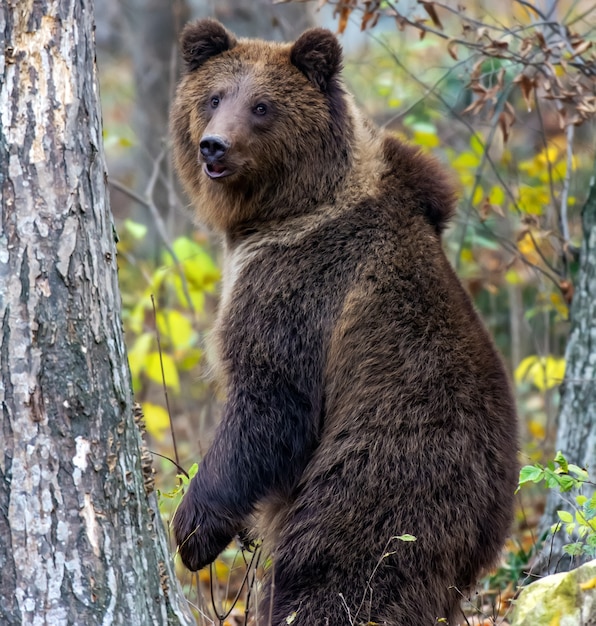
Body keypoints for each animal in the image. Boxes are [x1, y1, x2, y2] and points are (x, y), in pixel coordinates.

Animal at [170, 19, 520, 624]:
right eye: (213, 96)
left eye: (261, 106)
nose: (214, 145)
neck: (285, 210)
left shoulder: (301, 286)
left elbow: (270, 404)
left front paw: (193, 530)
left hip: (384, 472)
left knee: (337, 571)